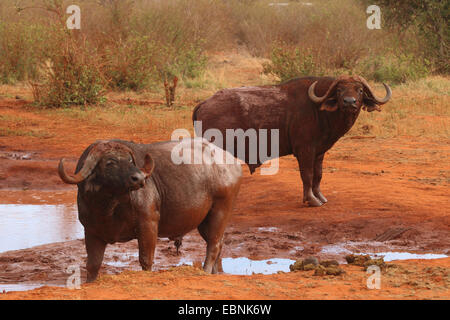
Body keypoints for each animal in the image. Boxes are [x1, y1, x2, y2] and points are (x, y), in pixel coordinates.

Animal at [59, 139, 244, 282]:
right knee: (219, 243)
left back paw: (205, 271)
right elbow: (92, 265)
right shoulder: (91, 231)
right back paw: (216, 273)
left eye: (130, 161)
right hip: (204, 222)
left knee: (213, 244)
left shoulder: (148, 224)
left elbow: (146, 259)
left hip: (220, 211)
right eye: (110, 162)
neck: (108, 207)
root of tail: (232, 163)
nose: (139, 178)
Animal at [192, 75, 392, 208]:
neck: (320, 111)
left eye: (359, 90)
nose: (349, 102)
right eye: (339, 89)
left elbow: (318, 175)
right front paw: (311, 200)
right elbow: (307, 175)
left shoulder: (319, 152)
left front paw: (320, 197)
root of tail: (205, 103)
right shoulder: (305, 150)